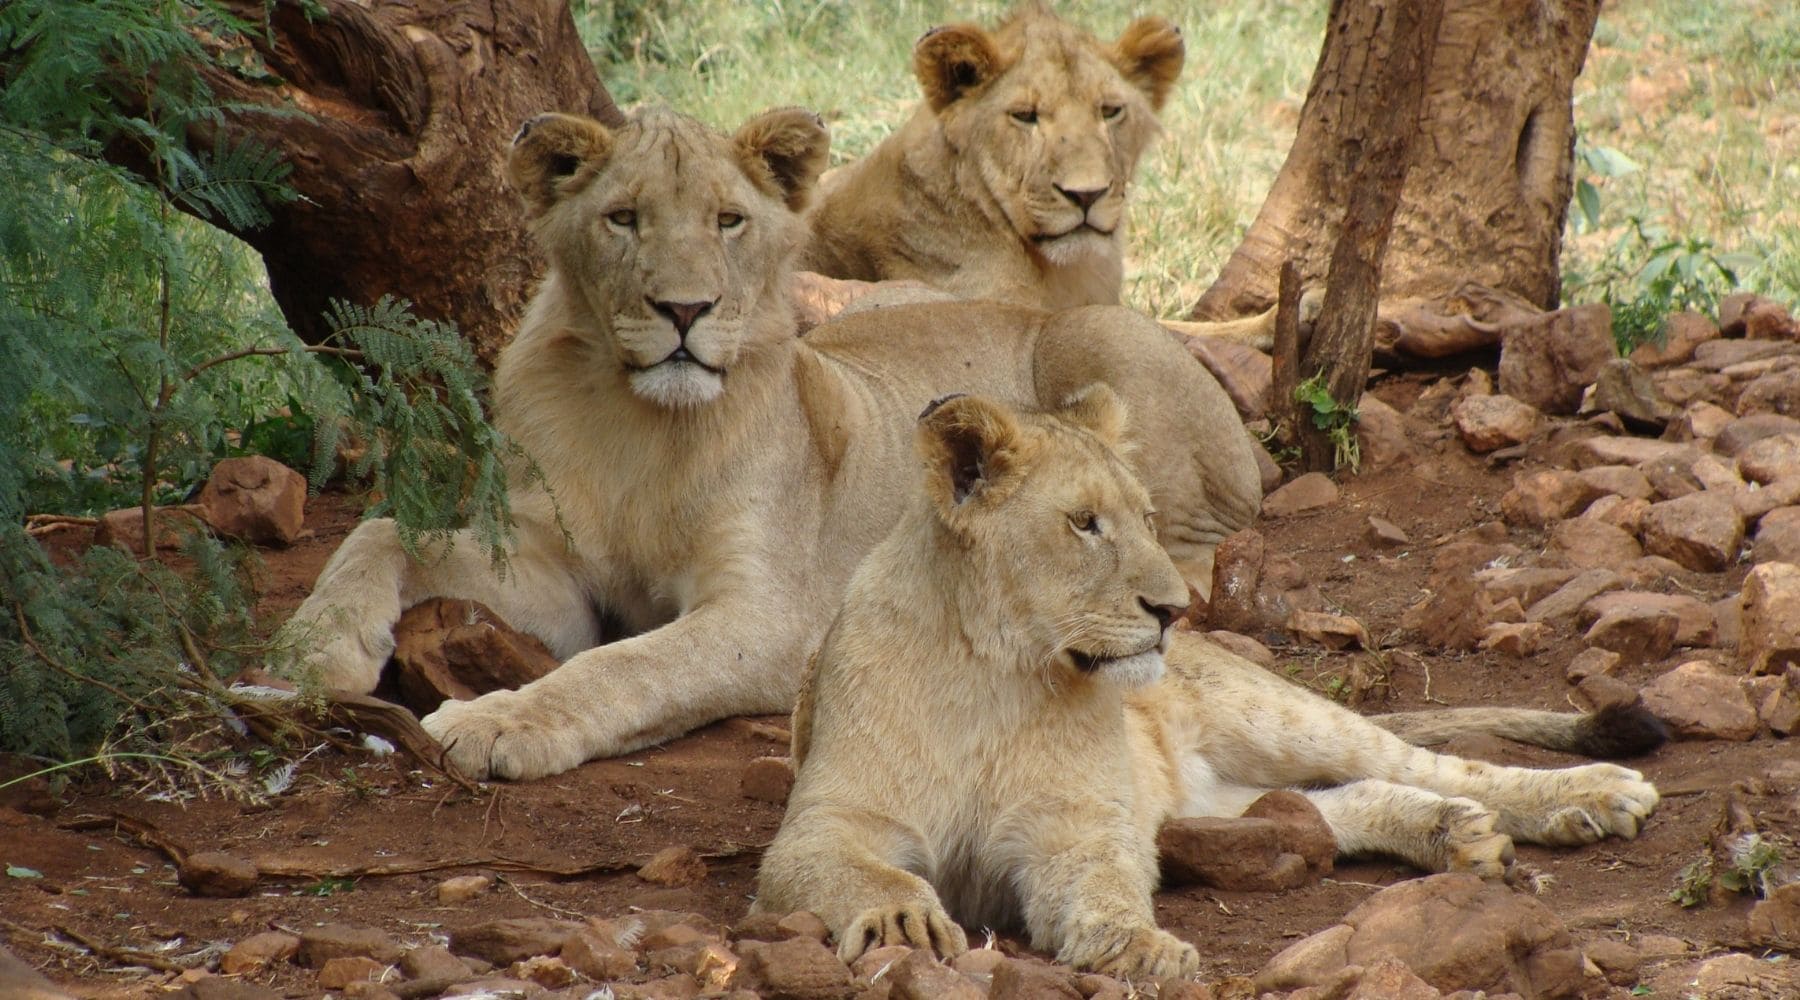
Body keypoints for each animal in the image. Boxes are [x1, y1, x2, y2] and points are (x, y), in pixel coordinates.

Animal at [279, 105, 1265, 781]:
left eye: (729, 220)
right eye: (624, 218)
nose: (684, 310)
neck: (641, 425)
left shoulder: (767, 617)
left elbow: (626, 667)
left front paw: (496, 724)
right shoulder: (550, 576)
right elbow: (381, 533)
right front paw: (311, 652)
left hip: (1094, 341)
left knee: (1201, 554)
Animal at [754, 390, 1661, 979]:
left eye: (1148, 519)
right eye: (1085, 523)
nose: (1173, 609)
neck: (996, 670)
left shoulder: (1077, 827)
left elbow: (1106, 885)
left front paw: (1138, 948)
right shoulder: (825, 824)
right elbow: (874, 873)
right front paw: (903, 921)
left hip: (1276, 715)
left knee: (1439, 764)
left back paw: (1590, 796)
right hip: (1209, 803)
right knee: (1334, 806)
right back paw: (1456, 833)